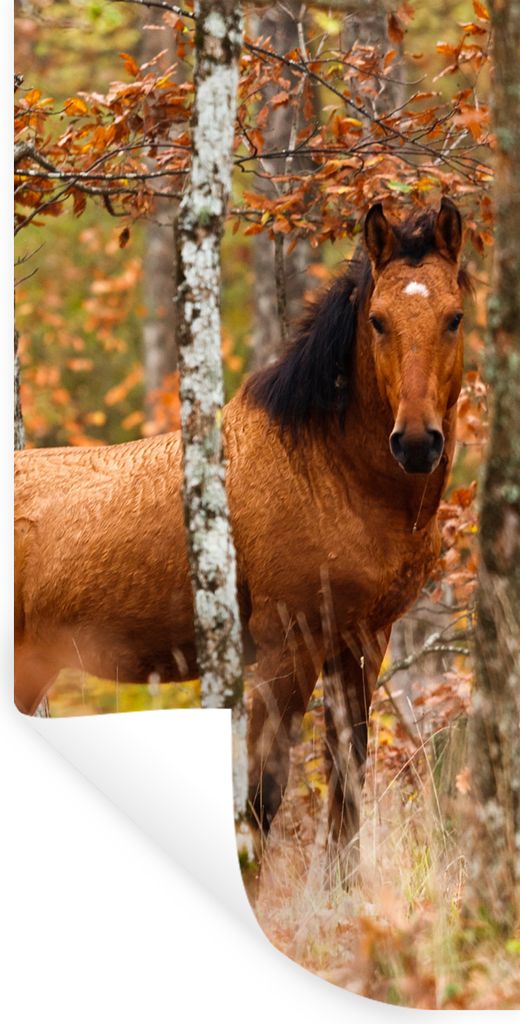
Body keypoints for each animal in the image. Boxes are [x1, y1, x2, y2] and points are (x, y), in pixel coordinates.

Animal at [15, 198, 468, 866]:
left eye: (454, 317)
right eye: (379, 321)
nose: (416, 442)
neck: (330, 473)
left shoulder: (362, 642)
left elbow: (346, 796)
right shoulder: (287, 647)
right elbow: (259, 800)